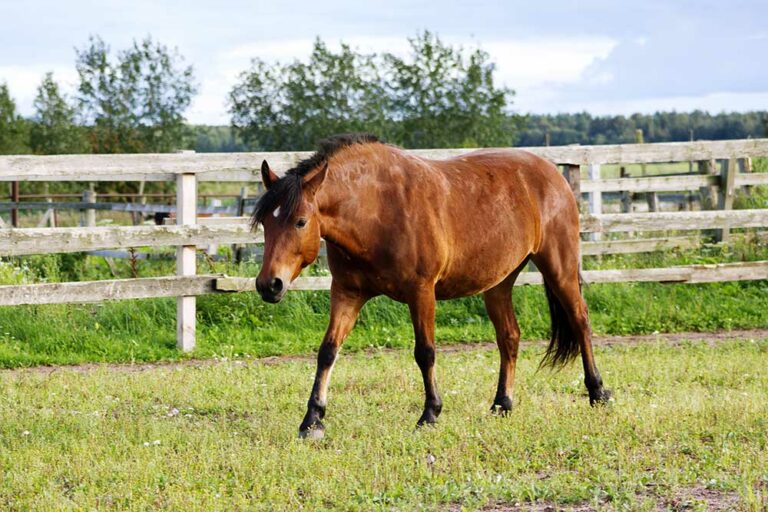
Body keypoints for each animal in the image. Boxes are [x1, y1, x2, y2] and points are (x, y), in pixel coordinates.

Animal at [252, 133, 611, 439]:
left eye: (300, 222)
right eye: (266, 222)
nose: (270, 284)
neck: (376, 208)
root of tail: (553, 174)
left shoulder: (421, 291)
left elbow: (425, 352)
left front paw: (430, 414)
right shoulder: (347, 293)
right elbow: (327, 352)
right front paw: (312, 420)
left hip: (559, 268)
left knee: (580, 320)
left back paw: (598, 392)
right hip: (499, 282)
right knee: (509, 337)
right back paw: (501, 404)